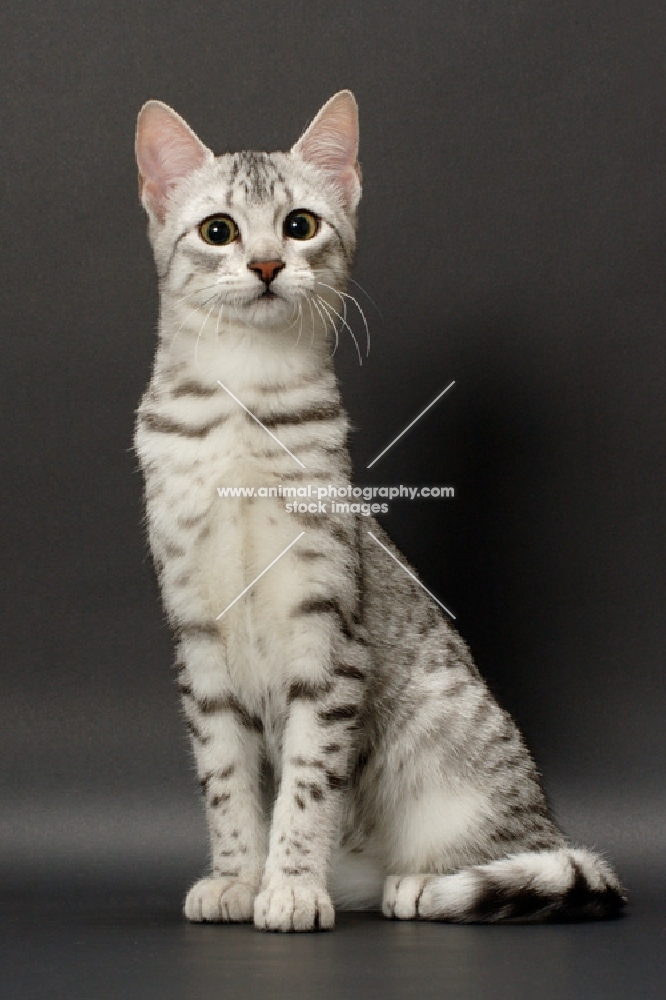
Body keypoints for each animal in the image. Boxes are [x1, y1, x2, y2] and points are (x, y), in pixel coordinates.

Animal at [134, 92, 624, 928]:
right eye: (218, 230)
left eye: (299, 224)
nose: (266, 264)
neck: (241, 406)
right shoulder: (198, 642)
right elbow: (227, 785)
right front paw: (239, 877)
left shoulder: (329, 632)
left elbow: (307, 783)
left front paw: (291, 886)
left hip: (455, 750)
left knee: (534, 856)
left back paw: (423, 884)